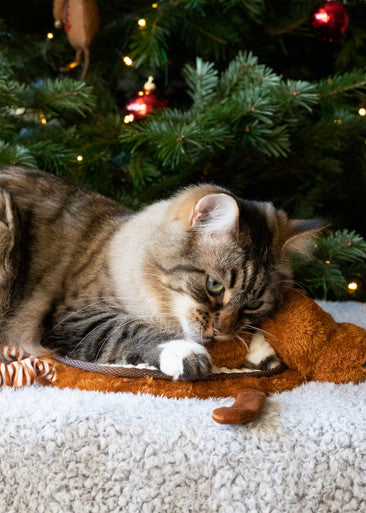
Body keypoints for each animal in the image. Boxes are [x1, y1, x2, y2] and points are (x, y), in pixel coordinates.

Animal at [0, 166, 318, 378]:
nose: (221, 331)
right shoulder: (77, 316)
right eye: (214, 285)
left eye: (253, 303)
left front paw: (260, 349)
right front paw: (186, 353)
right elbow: (131, 329)